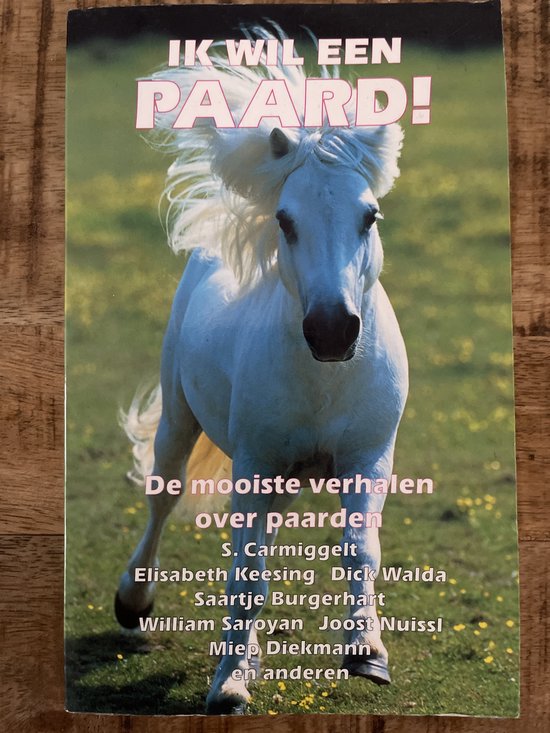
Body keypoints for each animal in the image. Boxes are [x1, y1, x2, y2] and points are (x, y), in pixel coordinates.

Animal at [114, 29, 408, 715]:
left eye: (370, 216)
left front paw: (367, 653)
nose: (333, 330)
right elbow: (245, 575)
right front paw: (228, 684)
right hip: (181, 420)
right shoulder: (252, 464)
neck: (324, 382)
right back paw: (133, 602)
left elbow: (360, 550)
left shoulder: (368, 459)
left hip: (282, 475)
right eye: (285, 219)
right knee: (163, 497)